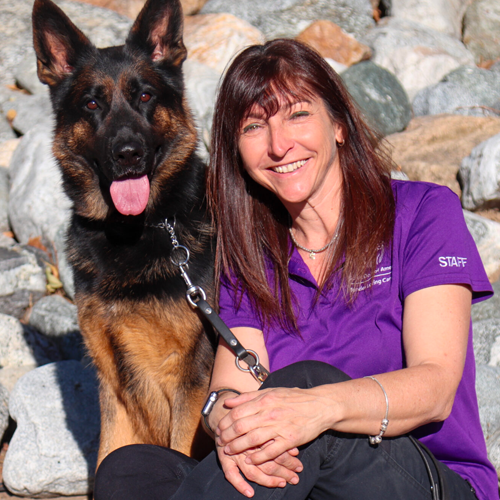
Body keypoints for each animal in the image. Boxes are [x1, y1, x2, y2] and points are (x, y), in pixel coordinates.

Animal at [32, 0, 214, 464]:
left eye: (145, 96)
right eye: (92, 103)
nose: (128, 154)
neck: (137, 228)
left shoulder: (195, 386)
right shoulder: (113, 387)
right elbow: (106, 459)